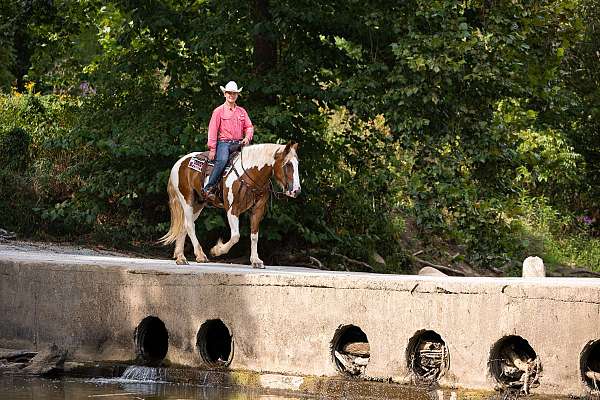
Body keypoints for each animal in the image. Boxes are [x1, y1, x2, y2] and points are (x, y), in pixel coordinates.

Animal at [159, 142, 300, 268]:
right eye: (288, 164)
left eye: (297, 164)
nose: (296, 191)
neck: (250, 174)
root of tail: (179, 162)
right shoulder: (233, 209)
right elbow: (236, 236)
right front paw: (217, 250)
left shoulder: (258, 210)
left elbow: (254, 236)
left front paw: (256, 260)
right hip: (187, 200)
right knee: (189, 225)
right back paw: (200, 255)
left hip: (198, 204)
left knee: (184, 225)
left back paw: (181, 257)